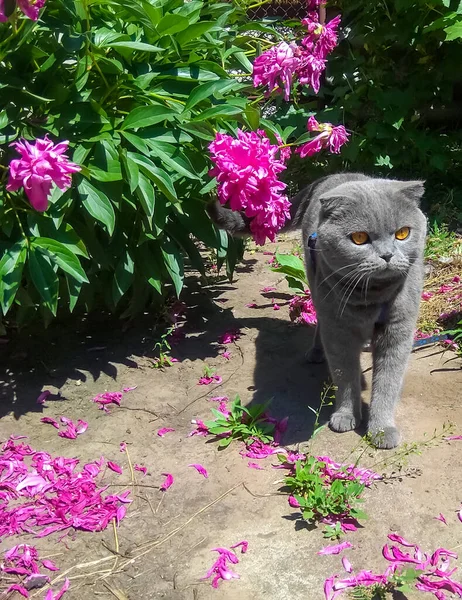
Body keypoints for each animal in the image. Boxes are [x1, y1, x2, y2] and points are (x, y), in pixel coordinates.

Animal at [208, 172, 428, 446]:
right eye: (359, 238)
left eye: (402, 233)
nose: (387, 255)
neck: (372, 296)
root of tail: (335, 175)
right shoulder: (338, 330)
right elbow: (345, 375)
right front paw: (346, 416)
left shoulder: (398, 330)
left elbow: (388, 381)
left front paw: (381, 430)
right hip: (316, 285)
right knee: (320, 324)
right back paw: (315, 351)